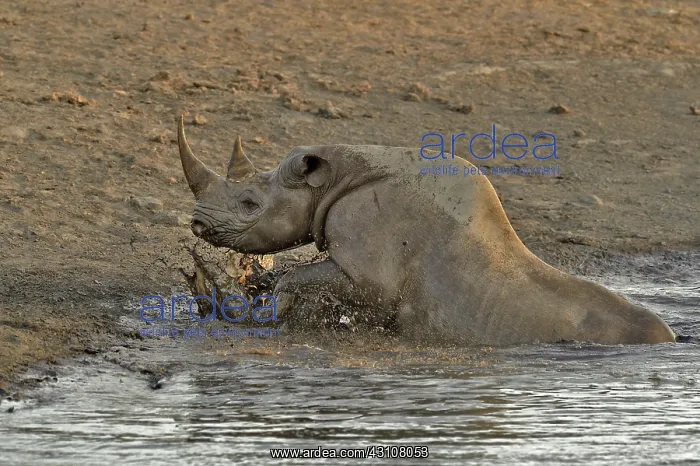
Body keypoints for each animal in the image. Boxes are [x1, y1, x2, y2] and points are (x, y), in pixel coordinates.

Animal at [176, 116, 676, 346]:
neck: (331, 179)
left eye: (249, 204)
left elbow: (310, 279)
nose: (198, 223)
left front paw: (270, 303)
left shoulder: (369, 264)